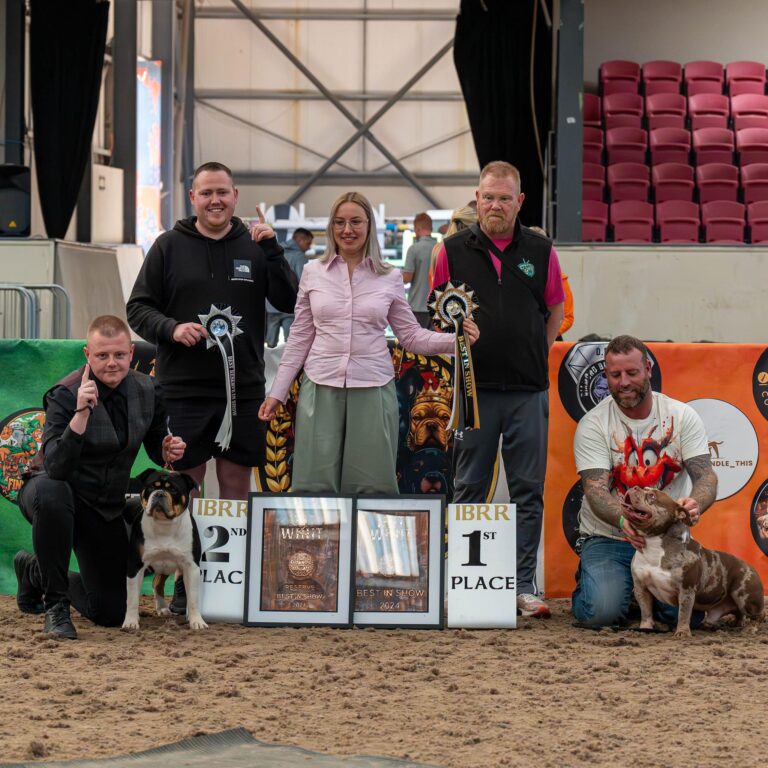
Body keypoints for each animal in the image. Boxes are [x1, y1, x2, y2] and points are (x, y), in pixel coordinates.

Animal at [120, 468, 206, 632]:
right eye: (151, 487)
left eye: (173, 489)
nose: (159, 493)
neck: (164, 525)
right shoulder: (135, 565)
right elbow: (132, 598)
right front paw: (131, 622)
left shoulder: (191, 566)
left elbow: (193, 598)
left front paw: (197, 621)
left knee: (157, 583)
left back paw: (162, 608)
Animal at [624, 486, 760, 636]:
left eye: (652, 496)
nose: (634, 487)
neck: (654, 543)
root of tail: (750, 566)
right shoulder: (641, 587)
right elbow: (646, 611)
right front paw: (645, 628)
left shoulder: (686, 589)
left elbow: (683, 613)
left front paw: (682, 632)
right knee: (740, 613)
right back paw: (736, 623)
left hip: (743, 595)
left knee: (754, 615)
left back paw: (751, 628)